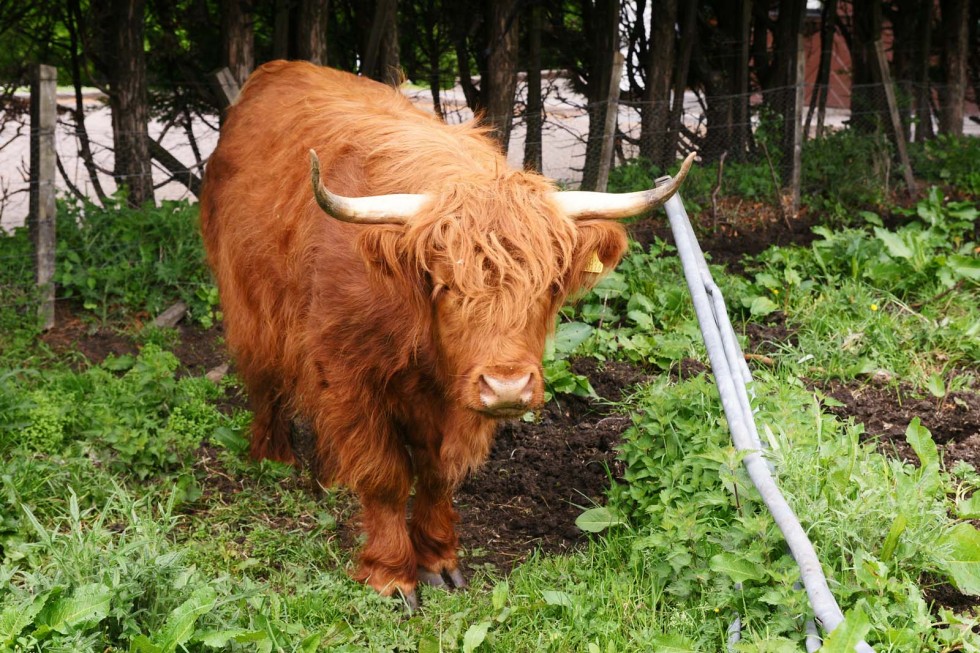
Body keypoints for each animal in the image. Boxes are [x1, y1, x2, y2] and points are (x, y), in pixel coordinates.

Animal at [197, 61, 688, 608]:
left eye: (548, 286)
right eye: (446, 284)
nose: (507, 387)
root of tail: (274, 71)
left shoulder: (454, 397)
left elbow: (437, 473)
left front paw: (438, 559)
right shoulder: (348, 376)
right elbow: (385, 475)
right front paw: (390, 575)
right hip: (248, 304)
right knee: (264, 380)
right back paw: (273, 455)